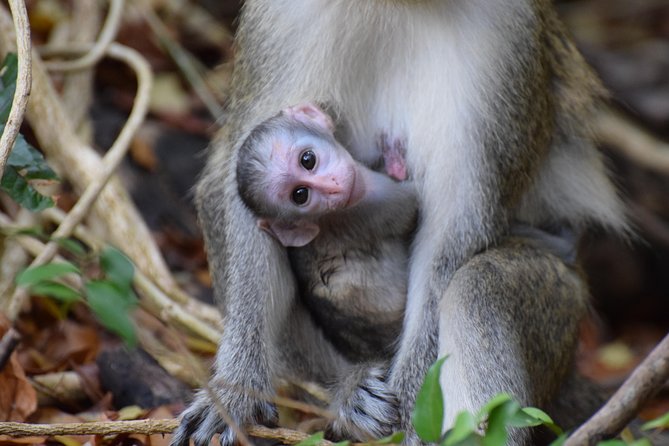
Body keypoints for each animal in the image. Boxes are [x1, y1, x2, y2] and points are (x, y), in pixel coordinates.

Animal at [172, 2, 627, 446]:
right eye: (300, 191)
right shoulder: (278, 19)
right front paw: (236, 389)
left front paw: (413, 413)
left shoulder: (512, 34)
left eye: (309, 159)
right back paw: (347, 388)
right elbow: (235, 189)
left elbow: (456, 227)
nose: (332, 187)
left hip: (561, 311)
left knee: (478, 285)